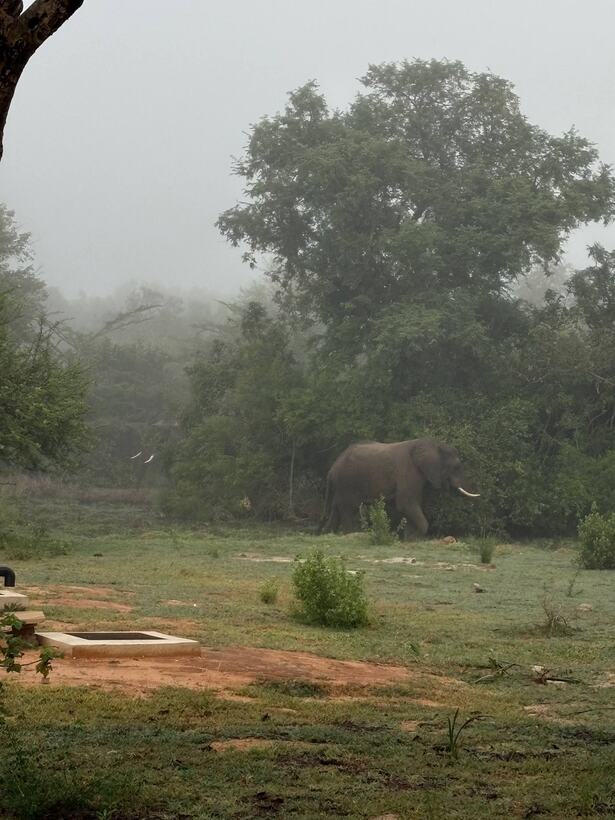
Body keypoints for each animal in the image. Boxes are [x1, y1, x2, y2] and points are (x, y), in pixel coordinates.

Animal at [318, 438, 479, 537]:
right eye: (456, 467)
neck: (432, 444)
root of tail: (332, 469)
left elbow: (411, 505)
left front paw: (410, 539)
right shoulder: (409, 472)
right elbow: (406, 504)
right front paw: (415, 537)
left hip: (342, 485)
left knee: (336, 508)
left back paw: (327, 533)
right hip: (347, 482)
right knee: (348, 508)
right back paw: (349, 534)